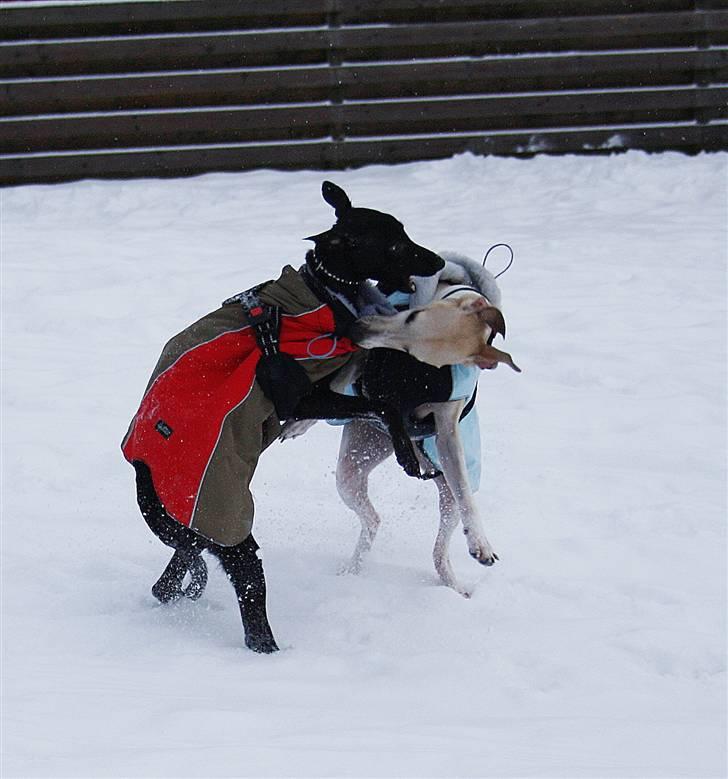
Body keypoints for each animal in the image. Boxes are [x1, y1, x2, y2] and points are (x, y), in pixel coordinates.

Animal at [123, 181, 444, 652]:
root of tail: (143, 470)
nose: (437, 261)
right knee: (251, 611)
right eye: (395, 244)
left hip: (198, 530)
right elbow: (384, 407)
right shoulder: (304, 395)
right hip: (233, 531)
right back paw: (274, 655)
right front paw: (408, 453)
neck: (320, 291)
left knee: (169, 579)